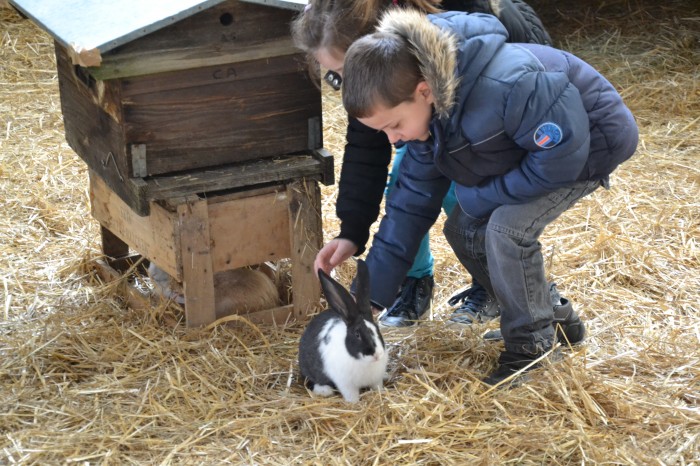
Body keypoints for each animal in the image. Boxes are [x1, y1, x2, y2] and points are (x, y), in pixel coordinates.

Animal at [298, 260, 388, 402]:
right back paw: (325, 391)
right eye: (357, 334)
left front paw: (381, 393)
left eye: (377, 329)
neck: (364, 362)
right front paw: (355, 403)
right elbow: (352, 395)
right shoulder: (346, 384)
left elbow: (377, 387)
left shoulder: (376, 380)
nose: (377, 355)